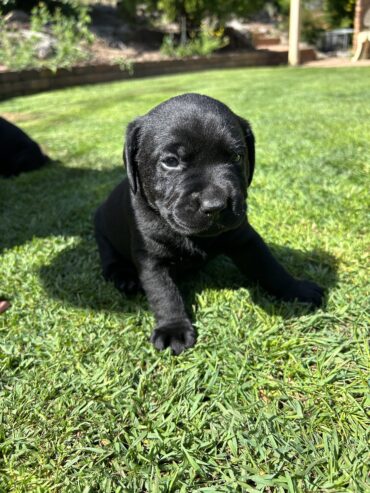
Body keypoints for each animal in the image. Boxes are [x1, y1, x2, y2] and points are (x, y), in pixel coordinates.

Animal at [95, 93, 324, 354]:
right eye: (171, 161)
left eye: (236, 156)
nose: (215, 205)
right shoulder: (151, 258)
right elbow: (164, 294)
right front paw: (173, 328)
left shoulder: (246, 240)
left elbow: (270, 267)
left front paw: (296, 289)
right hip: (103, 235)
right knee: (111, 261)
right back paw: (125, 278)